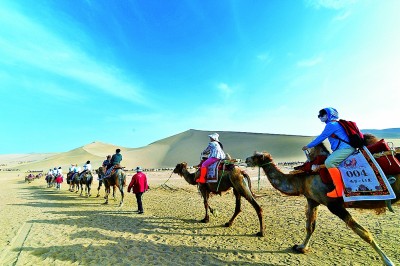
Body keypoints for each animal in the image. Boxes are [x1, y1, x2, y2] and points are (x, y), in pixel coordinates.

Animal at [245, 143, 398, 266]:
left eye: (257, 156)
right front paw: (301, 247)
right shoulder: (313, 200)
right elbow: (310, 227)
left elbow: (364, 233)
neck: (302, 179)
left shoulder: (334, 205)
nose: (246, 159)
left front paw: (388, 261)